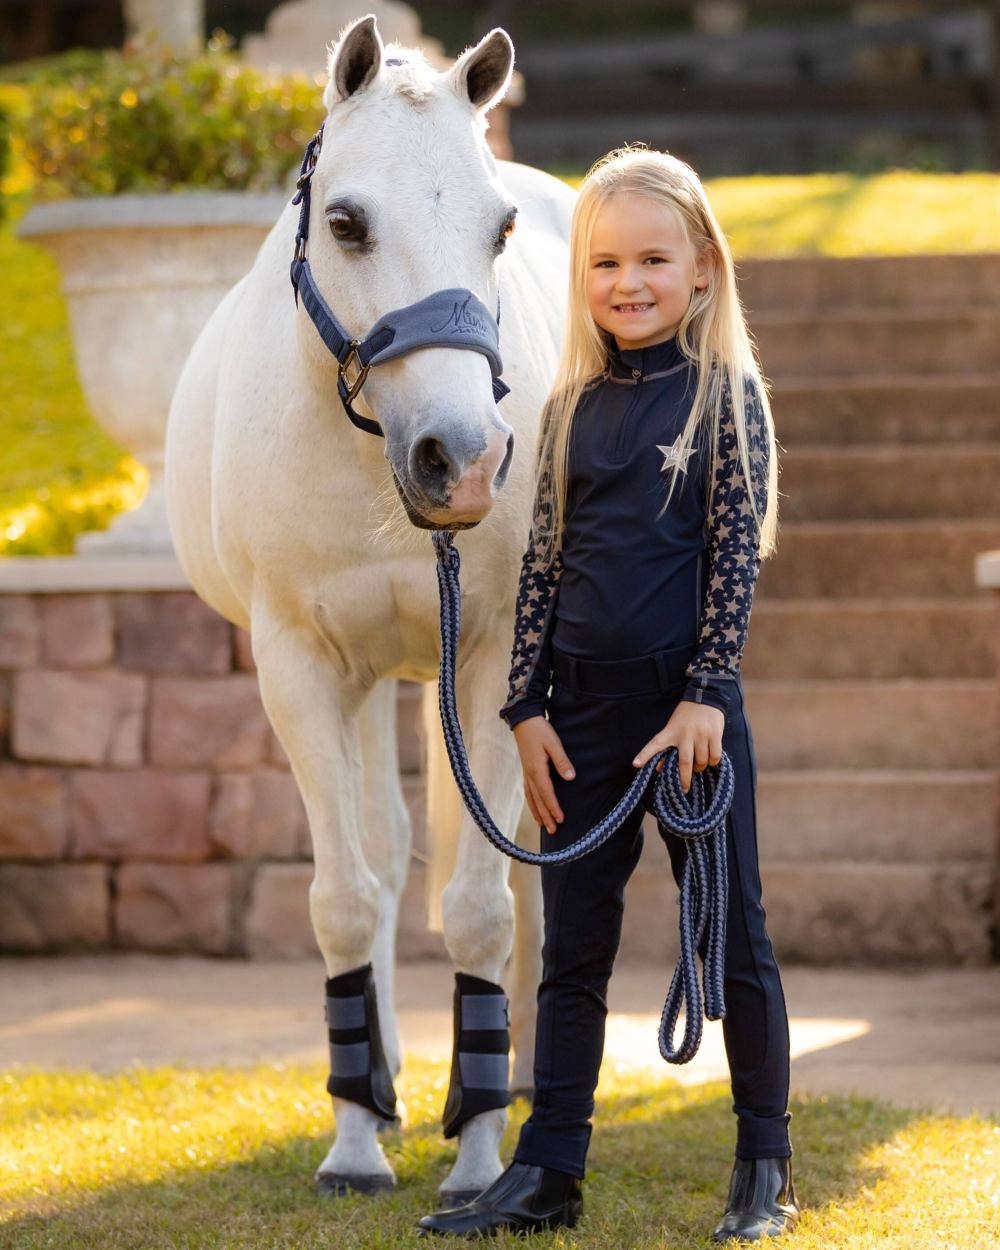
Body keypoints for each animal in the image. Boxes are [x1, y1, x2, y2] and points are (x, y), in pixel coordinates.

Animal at [163, 12, 570, 1200]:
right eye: (345, 222)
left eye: (500, 226)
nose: (463, 461)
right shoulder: (301, 669)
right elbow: (345, 896)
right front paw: (353, 1140)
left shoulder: (489, 662)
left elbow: (480, 907)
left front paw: (479, 1154)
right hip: (368, 684)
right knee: (385, 859)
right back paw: (382, 1086)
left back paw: (514, 1083)